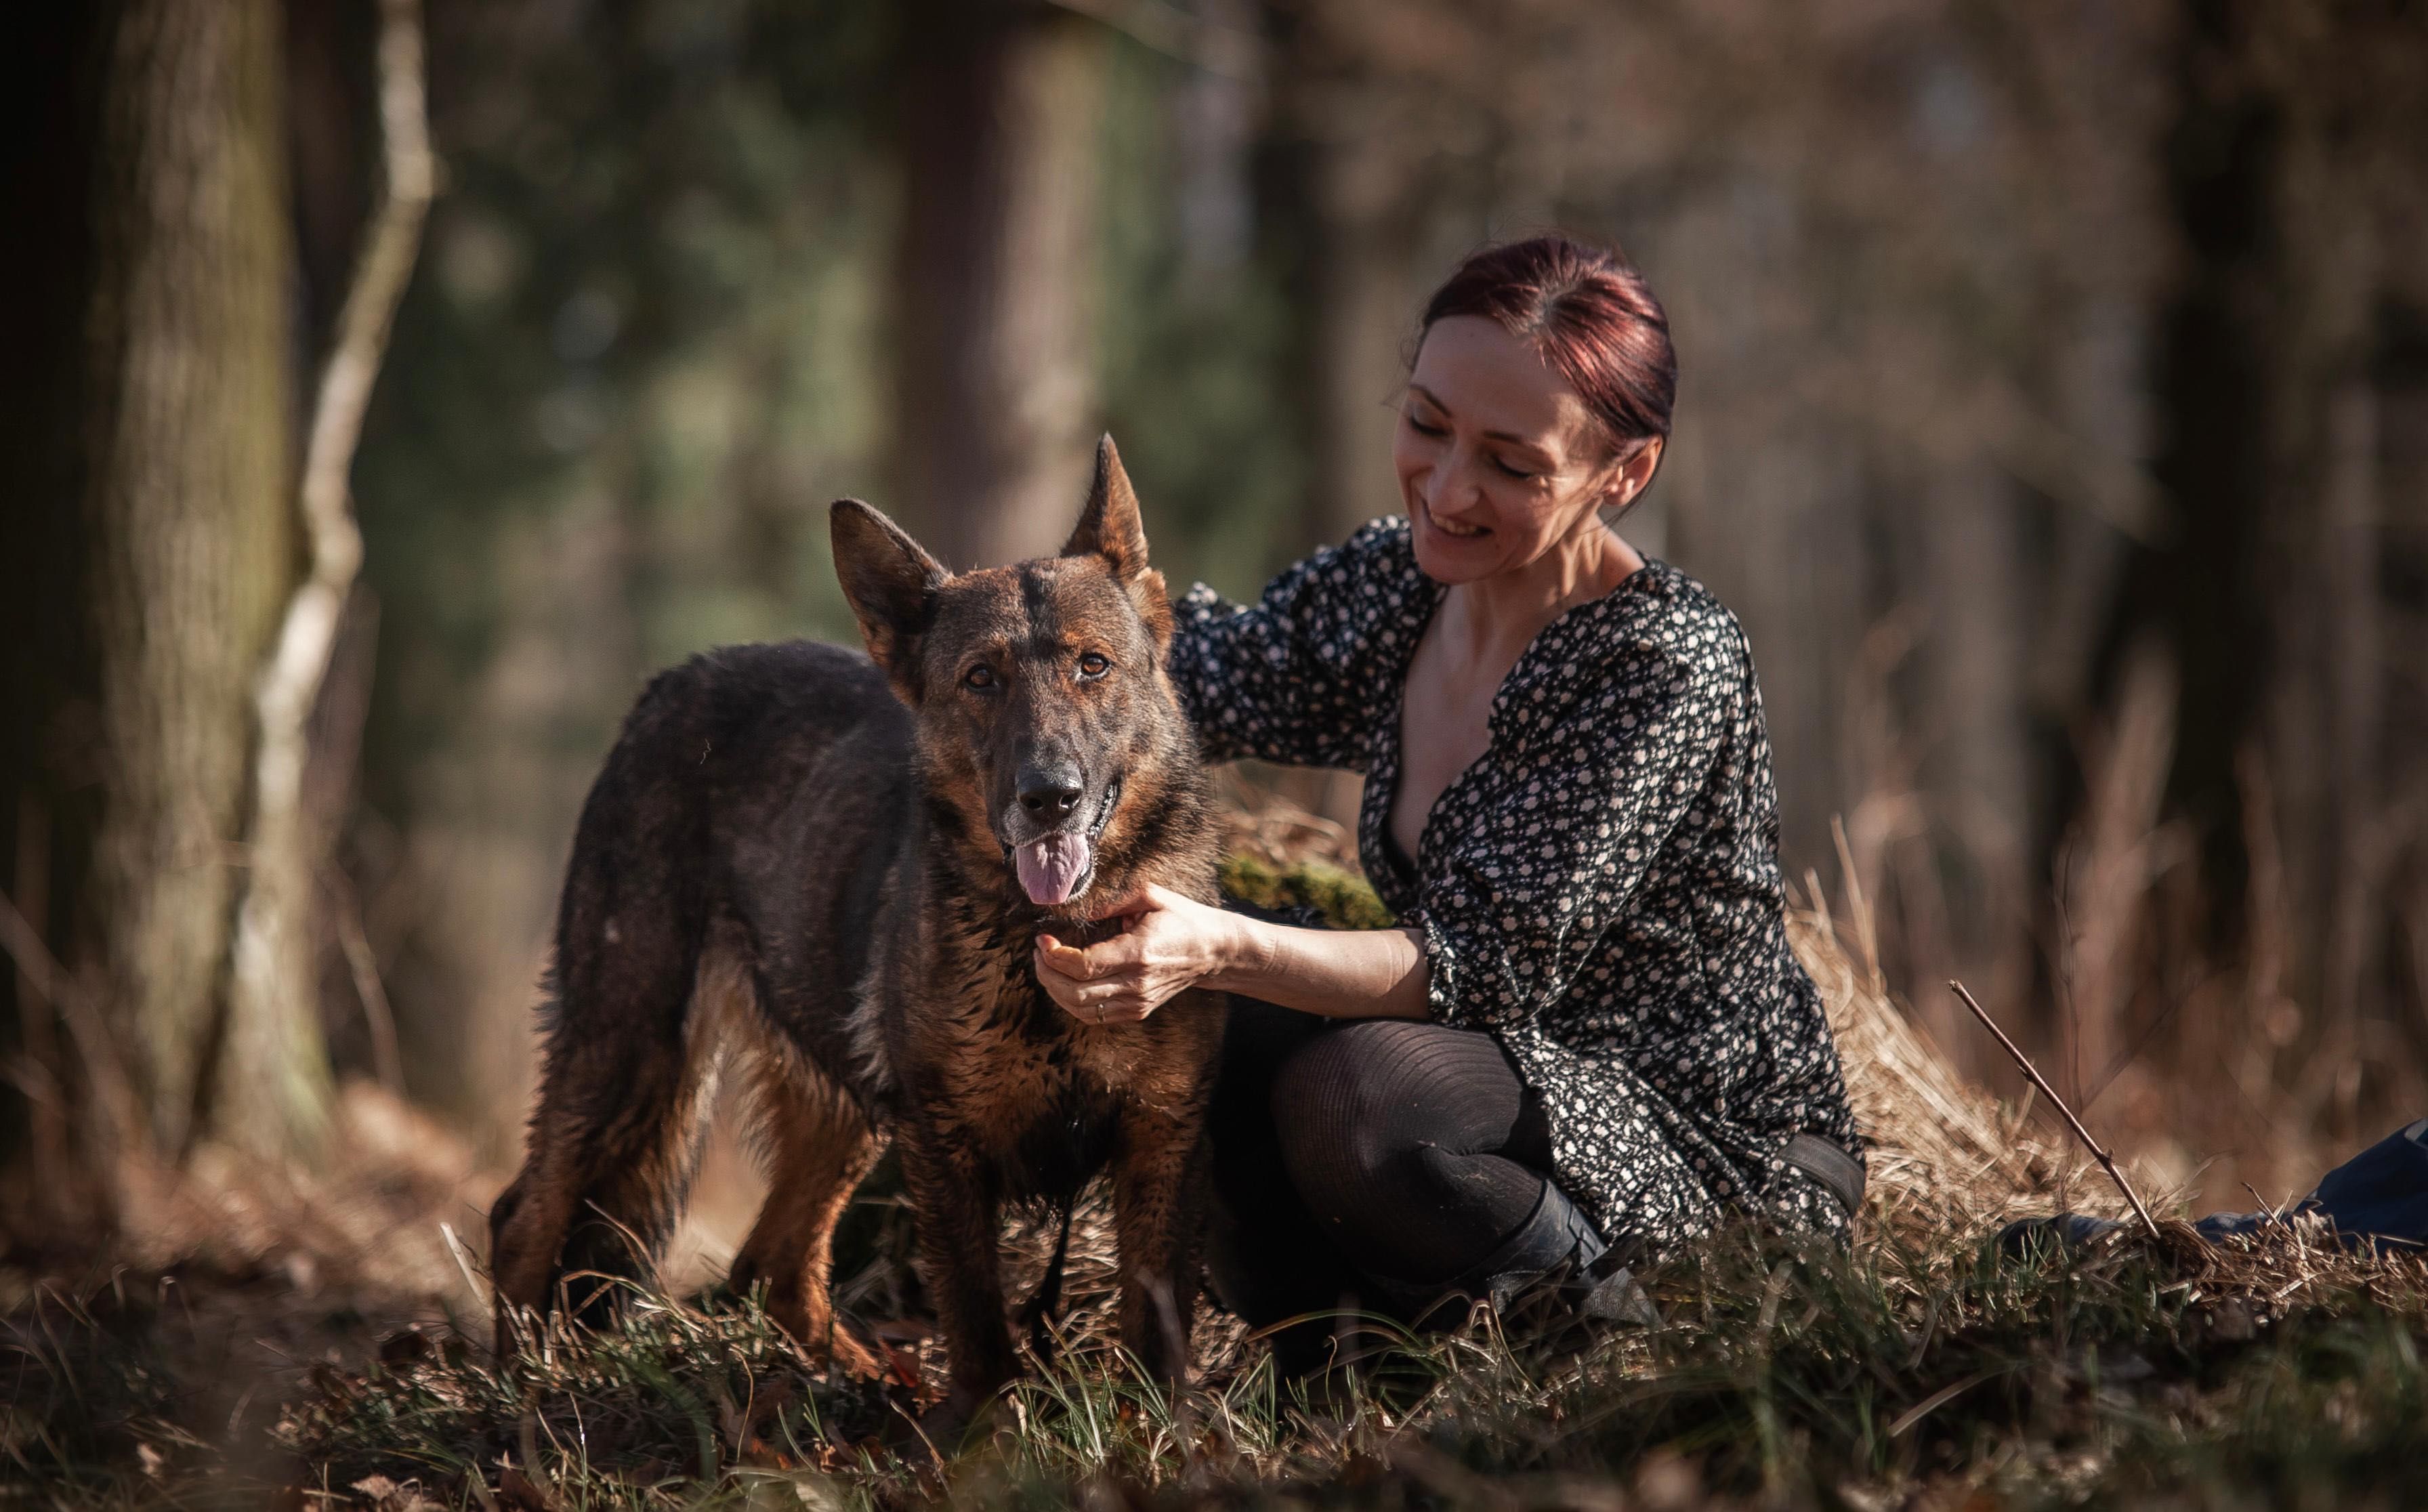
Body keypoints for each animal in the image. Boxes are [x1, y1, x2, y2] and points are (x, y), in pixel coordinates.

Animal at [488, 436, 1233, 1417]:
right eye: (981, 679)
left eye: (1092, 666)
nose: (1049, 797)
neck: (1049, 934)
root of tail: (670, 681)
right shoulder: (945, 1144)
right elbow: (982, 1333)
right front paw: (979, 1438)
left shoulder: (1161, 1141)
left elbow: (1157, 1341)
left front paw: (1161, 1435)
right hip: (631, 1046)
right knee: (523, 1217)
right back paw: (509, 1395)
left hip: (835, 1101)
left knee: (771, 1264)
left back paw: (870, 1382)